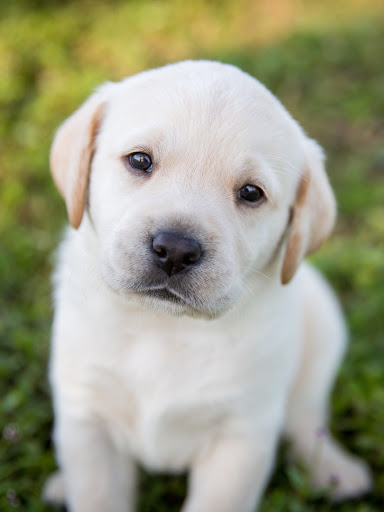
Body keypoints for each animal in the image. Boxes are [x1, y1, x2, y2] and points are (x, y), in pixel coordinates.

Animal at [43, 61, 370, 512]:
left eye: (250, 192)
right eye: (139, 160)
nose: (176, 250)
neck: (164, 327)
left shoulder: (241, 437)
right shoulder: (87, 417)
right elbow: (96, 495)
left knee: (306, 417)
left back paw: (334, 469)